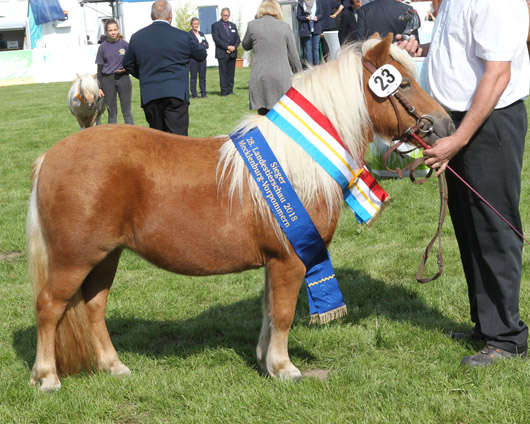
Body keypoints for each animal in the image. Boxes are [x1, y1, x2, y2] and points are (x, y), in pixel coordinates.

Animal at [25, 34, 454, 392]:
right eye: (404, 83)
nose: (446, 124)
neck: (299, 157)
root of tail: (50, 157)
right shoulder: (292, 259)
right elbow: (283, 313)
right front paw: (284, 368)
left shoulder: (277, 260)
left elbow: (269, 312)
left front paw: (266, 362)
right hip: (74, 259)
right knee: (49, 307)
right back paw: (47, 377)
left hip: (105, 256)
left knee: (94, 306)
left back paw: (114, 367)